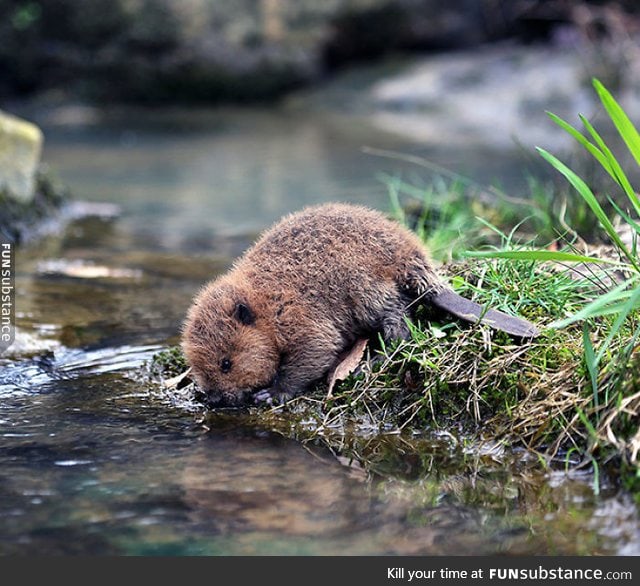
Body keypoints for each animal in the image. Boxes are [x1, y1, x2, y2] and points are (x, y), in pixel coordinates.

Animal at [182, 201, 536, 406]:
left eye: (226, 363)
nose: (213, 400)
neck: (265, 299)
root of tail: (418, 264)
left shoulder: (298, 315)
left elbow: (316, 350)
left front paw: (270, 394)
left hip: (366, 288)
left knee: (399, 324)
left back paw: (374, 361)